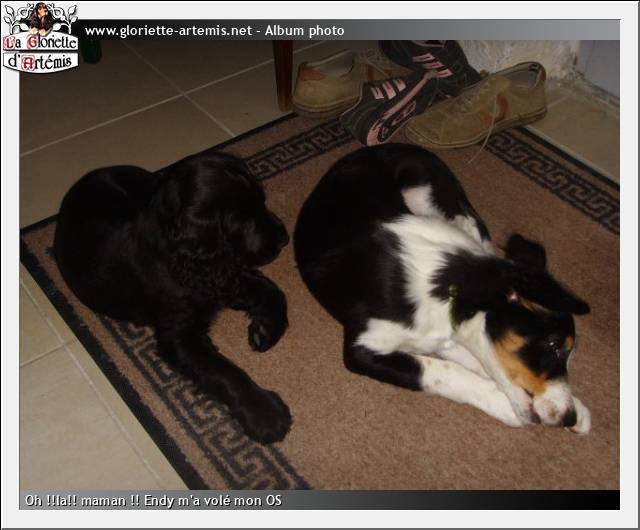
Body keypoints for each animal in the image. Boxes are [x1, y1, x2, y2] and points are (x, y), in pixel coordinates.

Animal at [54, 151, 292, 443]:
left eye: (262, 201)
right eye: (242, 219)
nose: (284, 238)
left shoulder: (225, 275)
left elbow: (272, 290)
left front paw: (267, 329)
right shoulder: (179, 336)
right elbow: (224, 372)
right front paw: (265, 412)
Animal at [294, 143, 591, 433]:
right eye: (554, 345)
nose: (569, 418)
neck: (452, 288)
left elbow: (475, 360)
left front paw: (578, 408)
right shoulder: (361, 348)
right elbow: (440, 371)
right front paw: (502, 404)